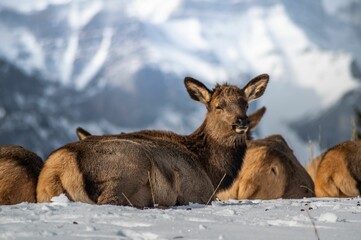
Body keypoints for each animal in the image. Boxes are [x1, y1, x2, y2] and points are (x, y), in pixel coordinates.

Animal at [36, 74, 268, 207]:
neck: (211, 169)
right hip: (130, 167)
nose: (241, 121)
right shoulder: (200, 192)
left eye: (246, 104)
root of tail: (59, 166)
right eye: (218, 106)